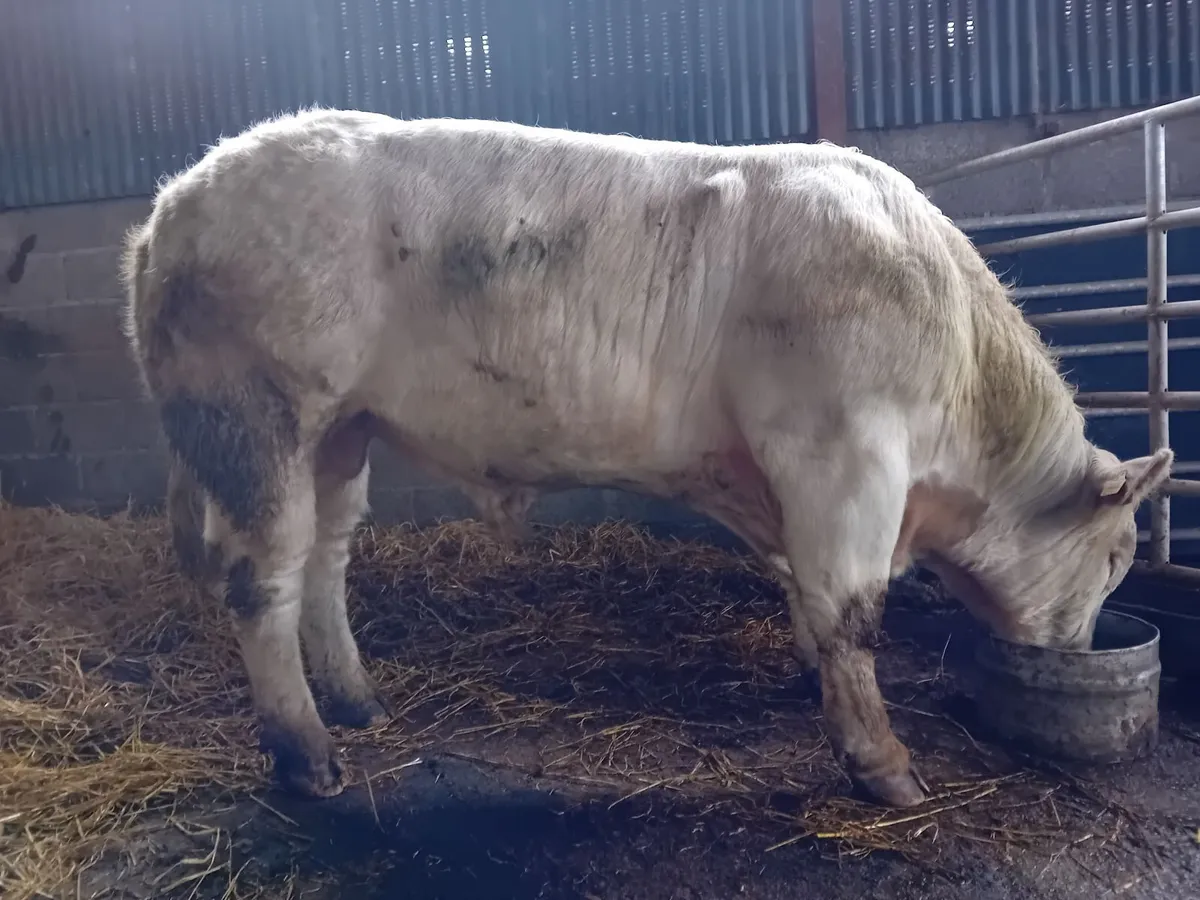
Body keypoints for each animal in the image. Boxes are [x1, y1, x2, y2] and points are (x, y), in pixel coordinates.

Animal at [121, 108, 1171, 809]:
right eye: (1120, 554)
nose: (1080, 649)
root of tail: (176, 201)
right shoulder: (845, 450)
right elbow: (855, 612)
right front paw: (884, 766)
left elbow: (808, 591)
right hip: (257, 415)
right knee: (262, 580)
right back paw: (306, 755)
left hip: (342, 432)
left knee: (325, 561)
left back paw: (356, 701)